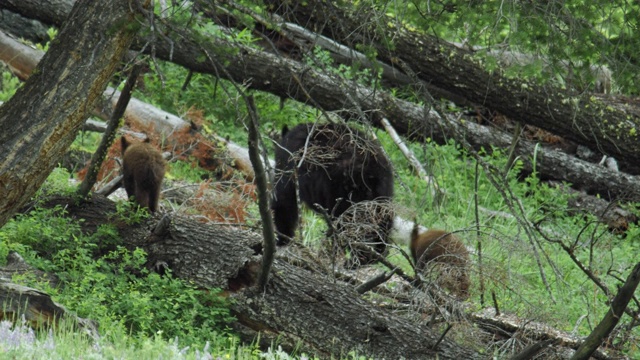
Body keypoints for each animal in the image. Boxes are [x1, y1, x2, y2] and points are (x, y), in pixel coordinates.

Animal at [272, 122, 396, 266]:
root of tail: (373, 171)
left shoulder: (288, 164)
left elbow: (284, 199)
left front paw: (282, 239)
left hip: (346, 191)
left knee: (350, 224)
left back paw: (356, 258)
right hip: (383, 193)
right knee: (384, 220)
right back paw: (377, 253)